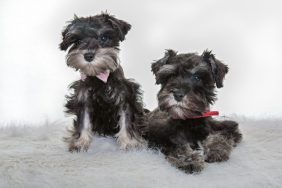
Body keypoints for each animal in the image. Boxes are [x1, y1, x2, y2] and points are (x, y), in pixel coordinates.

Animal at [58, 12, 144, 151]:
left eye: (103, 38)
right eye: (78, 41)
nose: (88, 55)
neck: (98, 76)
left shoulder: (125, 97)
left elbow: (126, 120)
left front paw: (129, 142)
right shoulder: (83, 99)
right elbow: (83, 121)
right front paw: (80, 142)